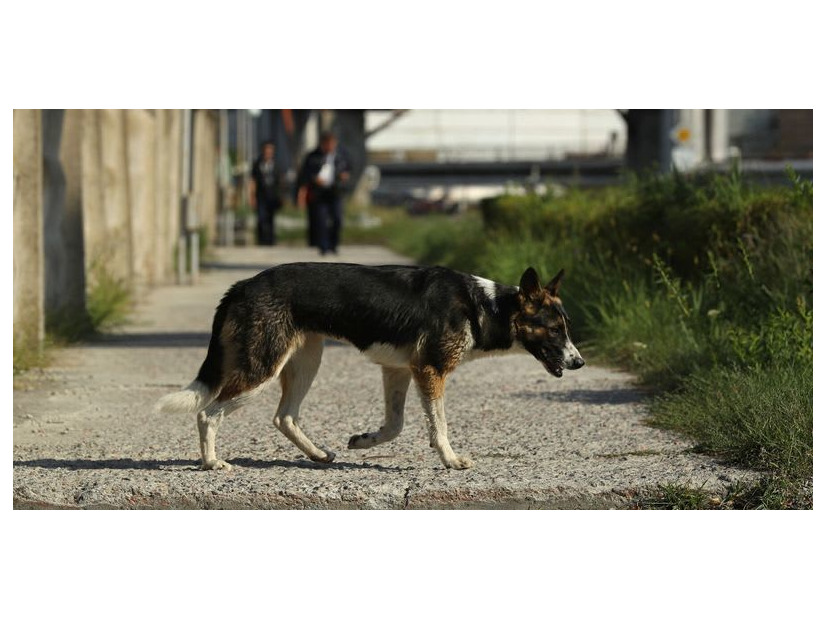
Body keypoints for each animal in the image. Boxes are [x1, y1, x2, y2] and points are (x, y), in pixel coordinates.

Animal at [153, 262, 580, 470]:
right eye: (554, 329)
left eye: (567, 327)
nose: (580, 361)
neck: (484, 307)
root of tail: (241, 286)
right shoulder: (430, 370)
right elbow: (439, 427)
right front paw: (450, 459)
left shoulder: (399, 371)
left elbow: (395, 426)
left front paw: (363, 441)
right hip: (262, 368)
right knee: (209, 413)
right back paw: (211, 462)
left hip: (306, 359)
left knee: (284, 417)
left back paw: (318, 455)